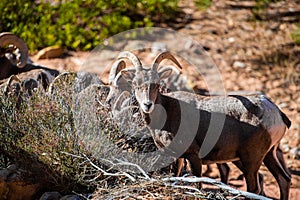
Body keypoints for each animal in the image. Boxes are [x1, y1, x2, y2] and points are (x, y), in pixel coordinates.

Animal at [118, 51, 292, 198]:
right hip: (268, 155)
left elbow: (198, 186)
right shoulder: (175, 157)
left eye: (156, 84)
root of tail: (276, 113)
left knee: (254, 188)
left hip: (251, 159)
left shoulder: (194, 157)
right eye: (135, 84)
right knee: (284, 179)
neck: (167, 113)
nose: (147, 104)